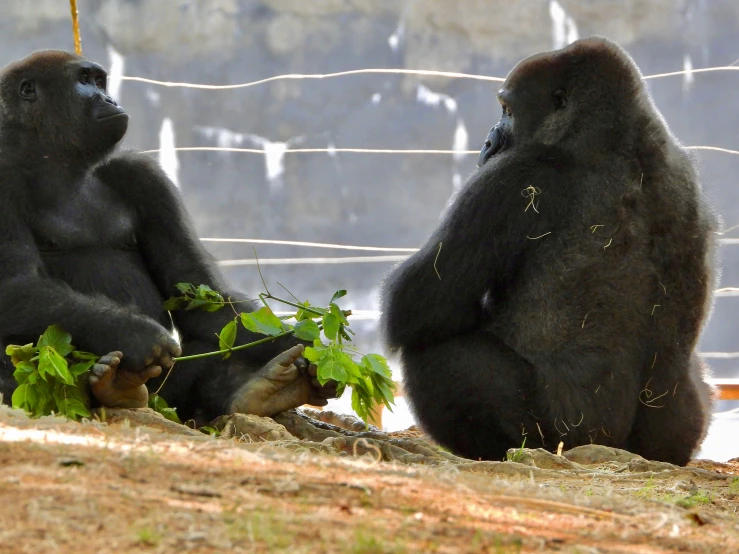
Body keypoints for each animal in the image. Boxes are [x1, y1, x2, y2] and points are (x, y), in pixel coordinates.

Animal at [0, 49, 336, 418]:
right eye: (84, 81)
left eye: (99, 81)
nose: (109, 99)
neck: (52, 155)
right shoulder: (4, 170)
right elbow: (14, 284)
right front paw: (133, 333)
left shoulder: (144, 177)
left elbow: (197, 291)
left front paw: (298, 342)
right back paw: (119, 387)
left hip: (168, 400)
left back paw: (257, 391)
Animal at [382, 36, 716, 464]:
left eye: (507, 110)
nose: (488, 141)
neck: (618, 131)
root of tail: (612, 446)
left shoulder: (518, 175)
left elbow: (417, 305)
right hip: (675, 438)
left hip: (562, 435)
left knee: (436, 352)